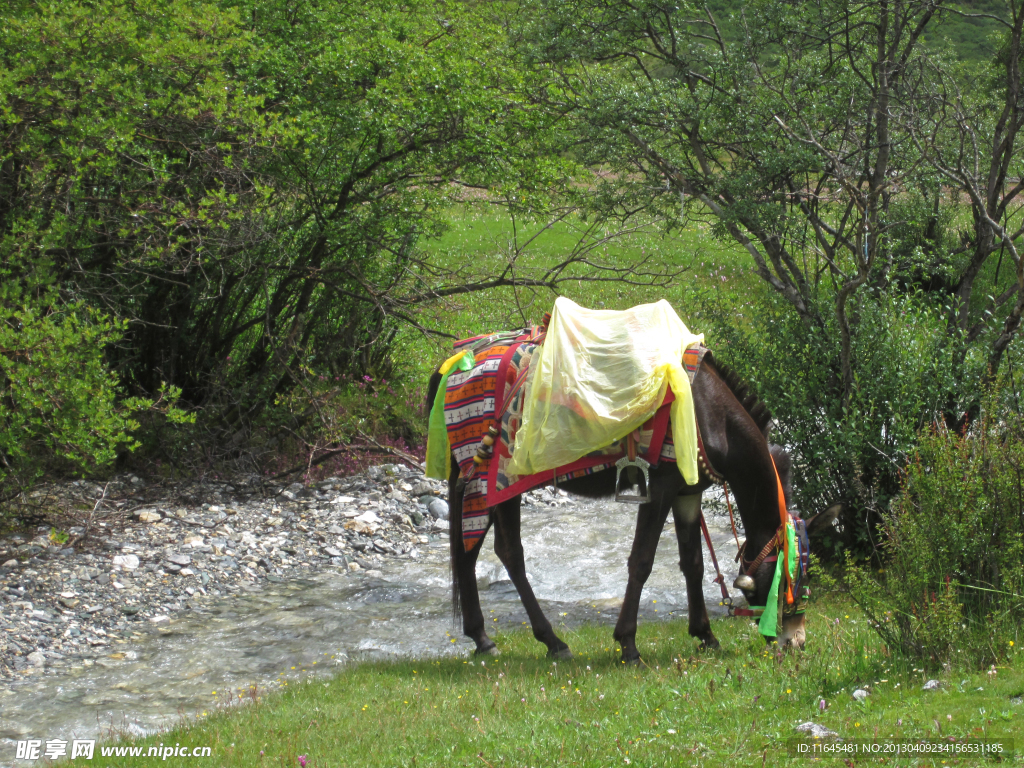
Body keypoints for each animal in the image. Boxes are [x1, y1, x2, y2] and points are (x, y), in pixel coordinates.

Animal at [428, 346, 835, 663]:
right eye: (797, 576)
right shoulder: (661, 487)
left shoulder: (688, 493)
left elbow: (693, 564)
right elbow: (642, 561)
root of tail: (457, 364)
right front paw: (628, 644)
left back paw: (495, 639)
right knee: (497, 551)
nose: (796, 641)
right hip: (494, 483)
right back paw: (538, 641)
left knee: (482, 552)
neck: (708, 414)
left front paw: (705, 635)